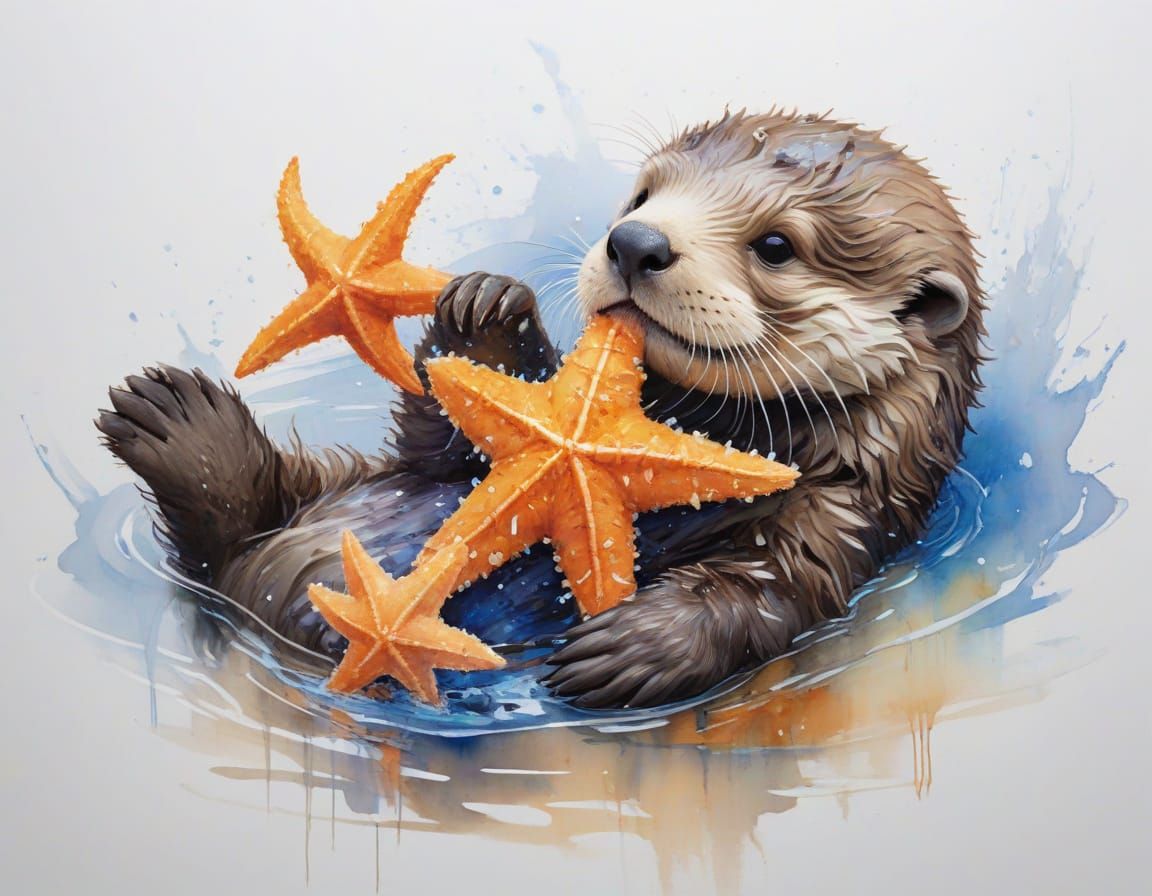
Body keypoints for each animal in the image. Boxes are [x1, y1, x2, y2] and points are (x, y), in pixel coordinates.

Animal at [96, 109, 984, 709]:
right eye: (643, 193)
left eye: (776, 246)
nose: (635, 242)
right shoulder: (451, 456)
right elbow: (444, 451)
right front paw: (485, 312)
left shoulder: (842, 517)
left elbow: (765, 592)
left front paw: (630, 648)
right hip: (327, 484)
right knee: (243, 517)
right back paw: (177, 423)